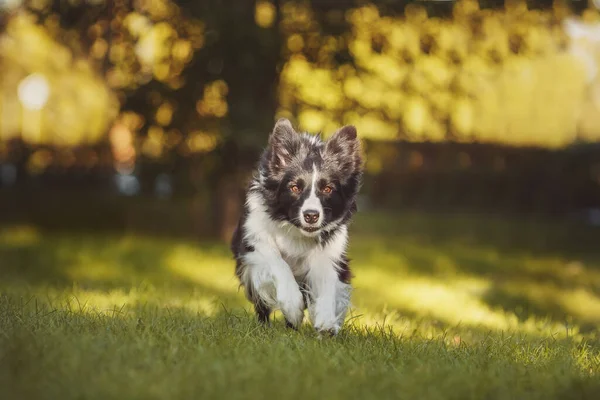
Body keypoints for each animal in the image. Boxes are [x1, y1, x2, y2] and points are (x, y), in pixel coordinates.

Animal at [229, 118, 360, 334]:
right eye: (295, 188)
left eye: (327, 189)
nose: (311, 216)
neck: (296, 231)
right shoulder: (254, 242)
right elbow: (278, 263)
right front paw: (293, 307)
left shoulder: (331, 252)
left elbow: (328, 281)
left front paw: (326, 320)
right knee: (262, 306)